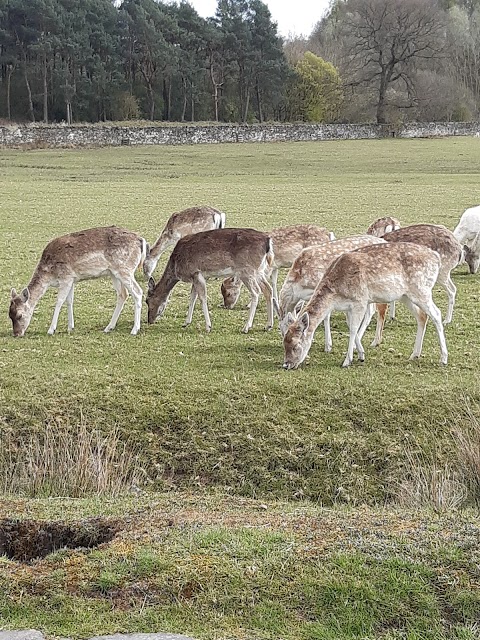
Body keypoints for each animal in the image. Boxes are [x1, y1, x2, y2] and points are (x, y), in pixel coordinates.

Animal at [7, 225, 146, 338]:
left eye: (19, 315)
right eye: (10, 315)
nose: (16, 334)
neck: (49, 275)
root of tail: (141, 240)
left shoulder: (65, 277)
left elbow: (59, 301)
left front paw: (51, 330)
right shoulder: (72, 279)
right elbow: (69, 301)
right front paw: (70, 327)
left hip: (125, 269)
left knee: (138, 292)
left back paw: (134, 330)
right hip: (113, 273)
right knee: (123, 294)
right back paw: (108, 327)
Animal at [145, 226, 274, 336]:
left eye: (147, 300)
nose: (149, 320)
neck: (176, 266)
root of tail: (268, 241)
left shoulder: (196, 273)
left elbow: (202, 298)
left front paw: (208, 326)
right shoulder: (194, 277)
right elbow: (192, 297)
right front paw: (186, 322)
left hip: (247, 270)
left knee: (256, 292)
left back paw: (246, 327)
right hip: (259, 270)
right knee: (268, 289)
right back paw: (268, 325)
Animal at [284, 241, 448, 370]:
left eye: (296, 345)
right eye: (284, 342)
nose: (286, 365)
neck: (335, 294)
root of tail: (436, 257)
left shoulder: (360, 300)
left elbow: (353, 329)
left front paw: (347, 361)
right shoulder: (349, 306)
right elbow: (351, 326)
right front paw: (361, 355)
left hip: (422, 289)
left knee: (436, 314)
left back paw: (443, 358)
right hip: (406, 295)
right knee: (422, 316)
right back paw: (414, 354)